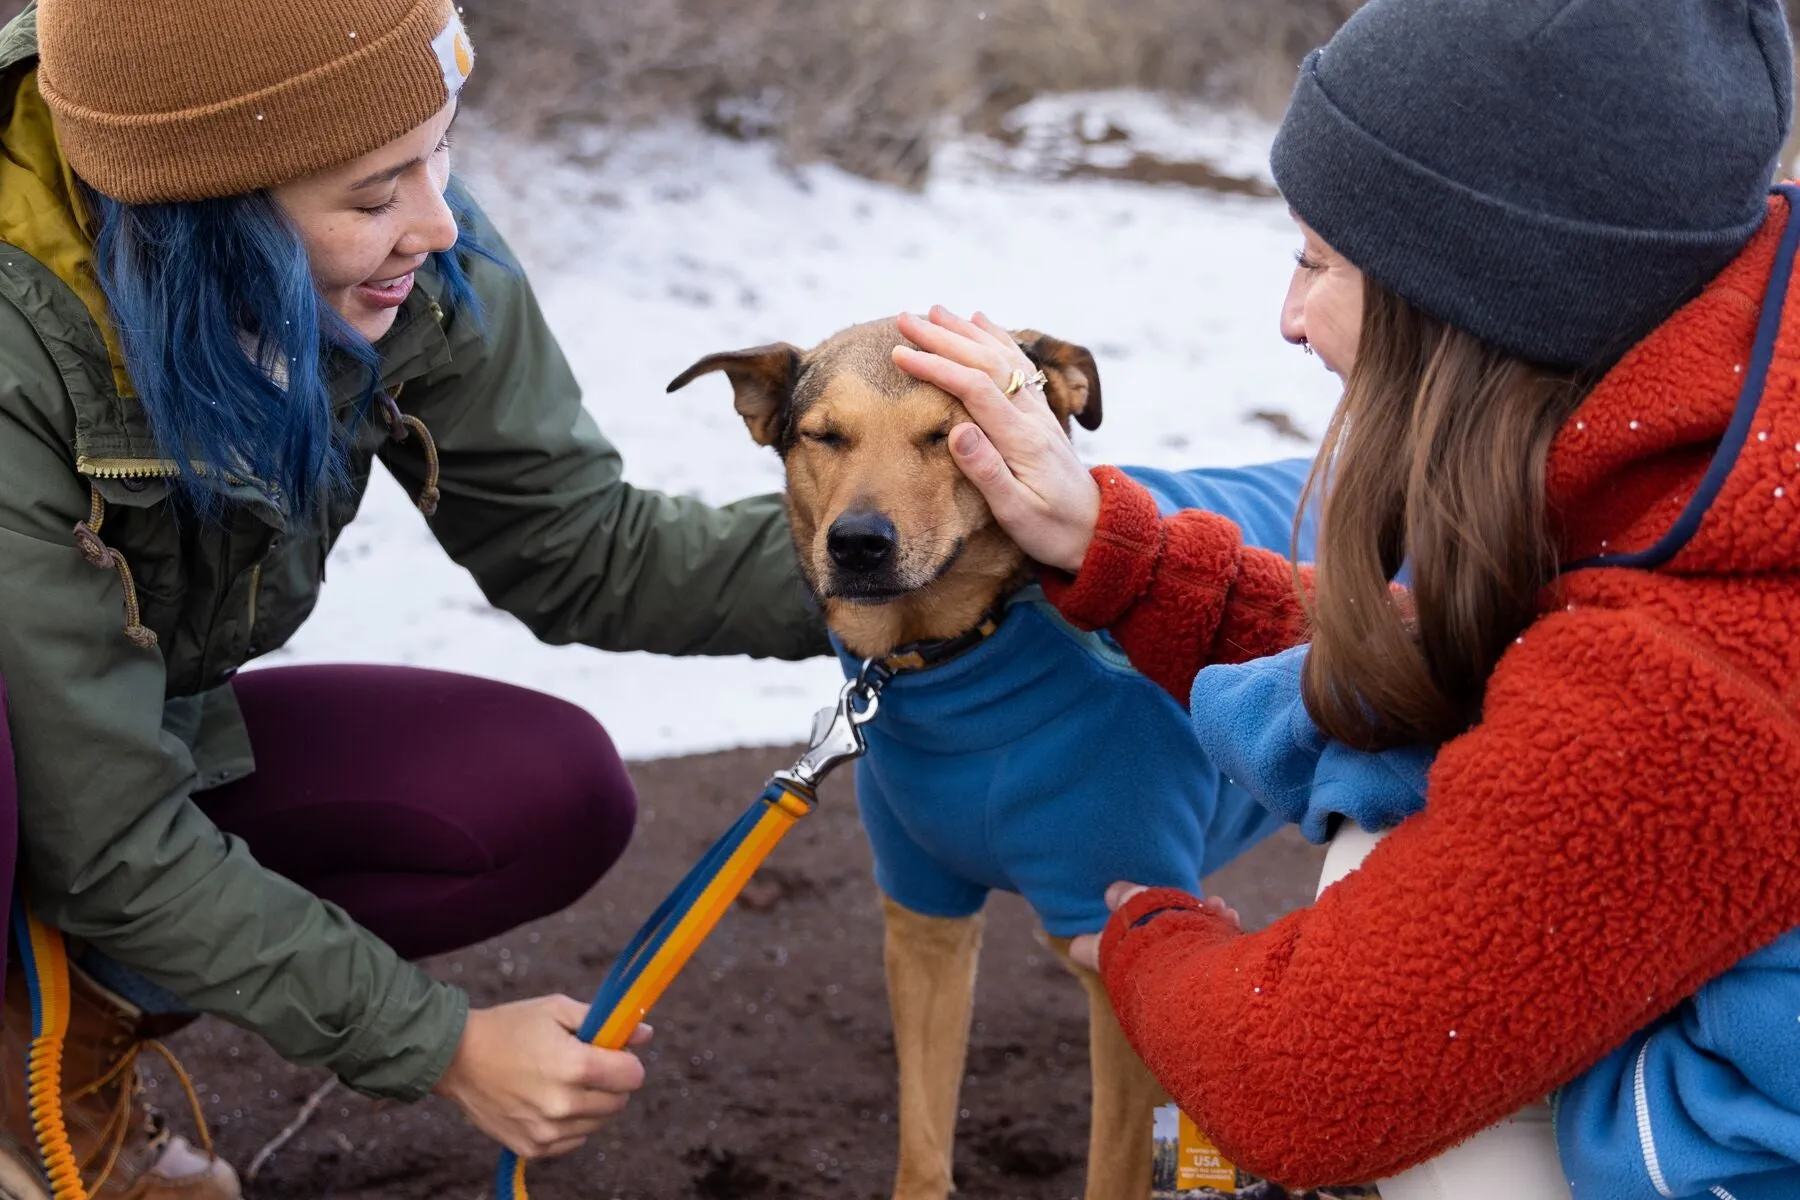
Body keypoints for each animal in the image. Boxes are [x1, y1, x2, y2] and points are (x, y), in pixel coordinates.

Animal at [669, 318, 1288, 1200]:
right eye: (825, 435)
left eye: (952, 433)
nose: (858, 543)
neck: (955, 668)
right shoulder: (923, 914)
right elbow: (923, 1143)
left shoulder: (1121, 949)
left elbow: (1110, 1172)